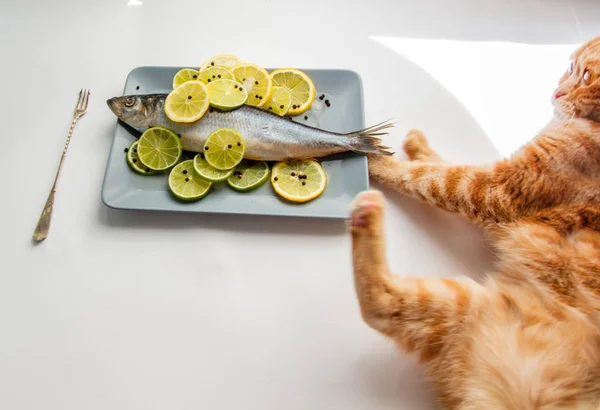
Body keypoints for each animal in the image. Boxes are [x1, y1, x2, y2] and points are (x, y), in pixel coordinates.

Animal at [350, 36, 600, 408]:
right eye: (571, 67)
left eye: (586, 76)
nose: (556, 92)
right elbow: (437, 168)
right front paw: (416, 144)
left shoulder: (502, 190)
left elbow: (432, 178)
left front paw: (379, 160)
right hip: (465, 308)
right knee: (381, 304)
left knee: (379, 302)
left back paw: (368, 206)